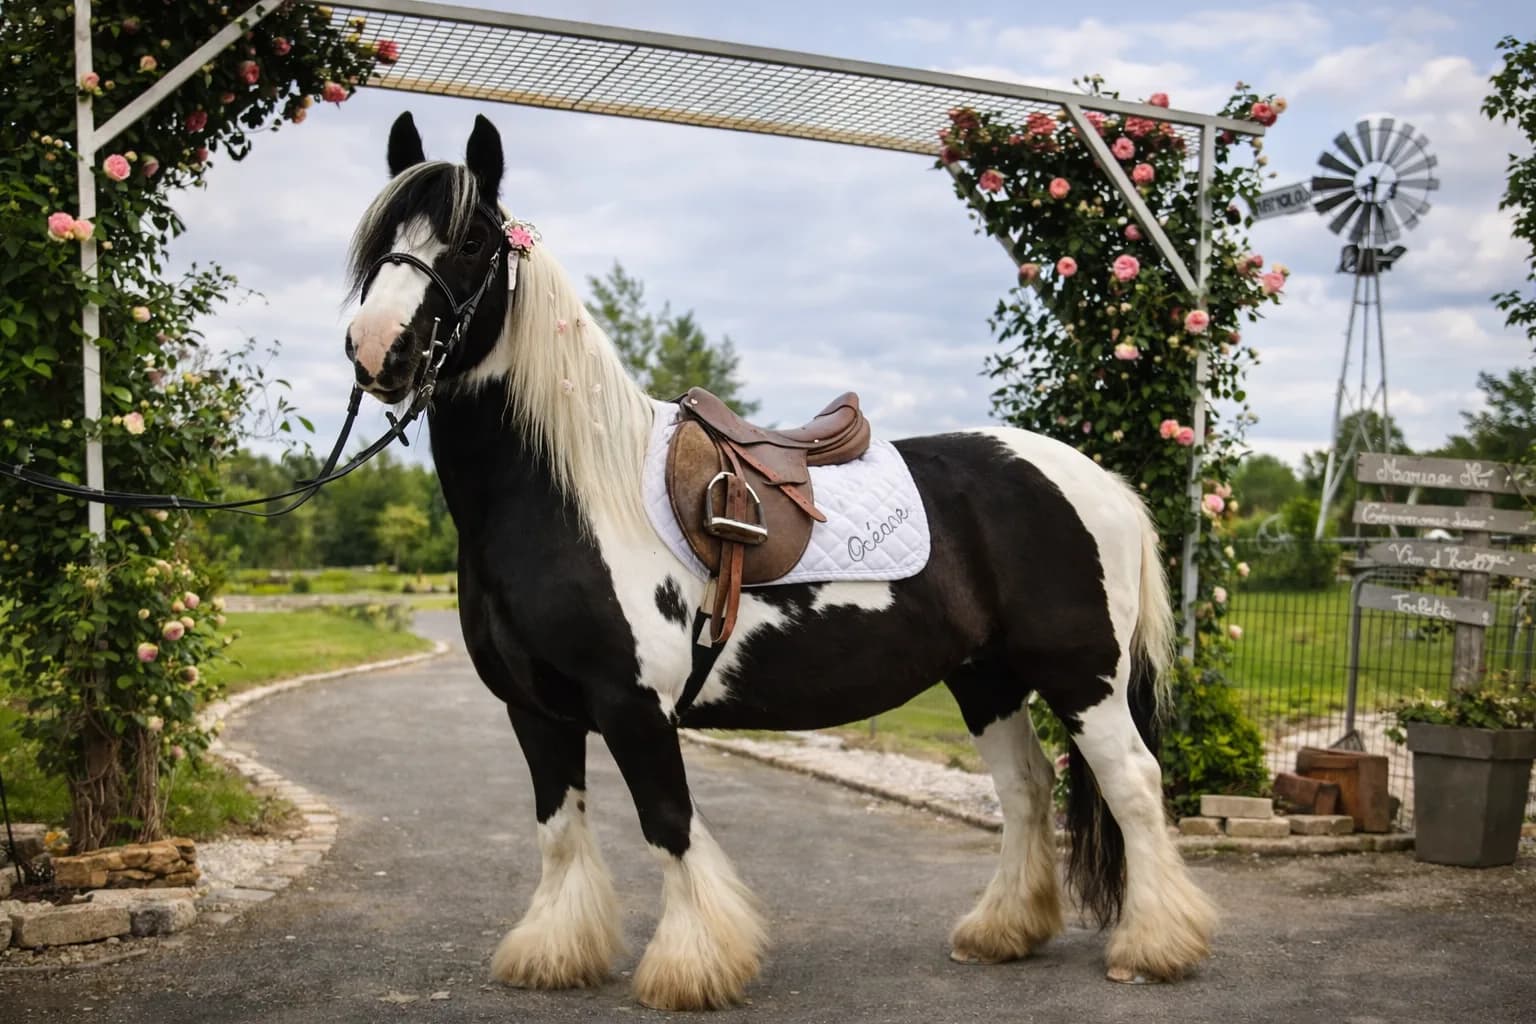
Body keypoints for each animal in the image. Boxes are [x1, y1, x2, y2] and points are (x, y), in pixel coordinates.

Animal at [341, 111, 1216, 1011]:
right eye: (377, 237)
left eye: (473, 240)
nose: (376, 353)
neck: (570, 496)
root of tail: (1101, 481)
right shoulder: (535, 712)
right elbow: (558, 830)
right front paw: (555, 952)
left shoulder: (633, 707)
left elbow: (668, 825)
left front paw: (692, 966)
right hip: (986, 677)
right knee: (1028, 789)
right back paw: (1001, 932)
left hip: (1082, 677)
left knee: (1133, 784)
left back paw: (1152, 948)